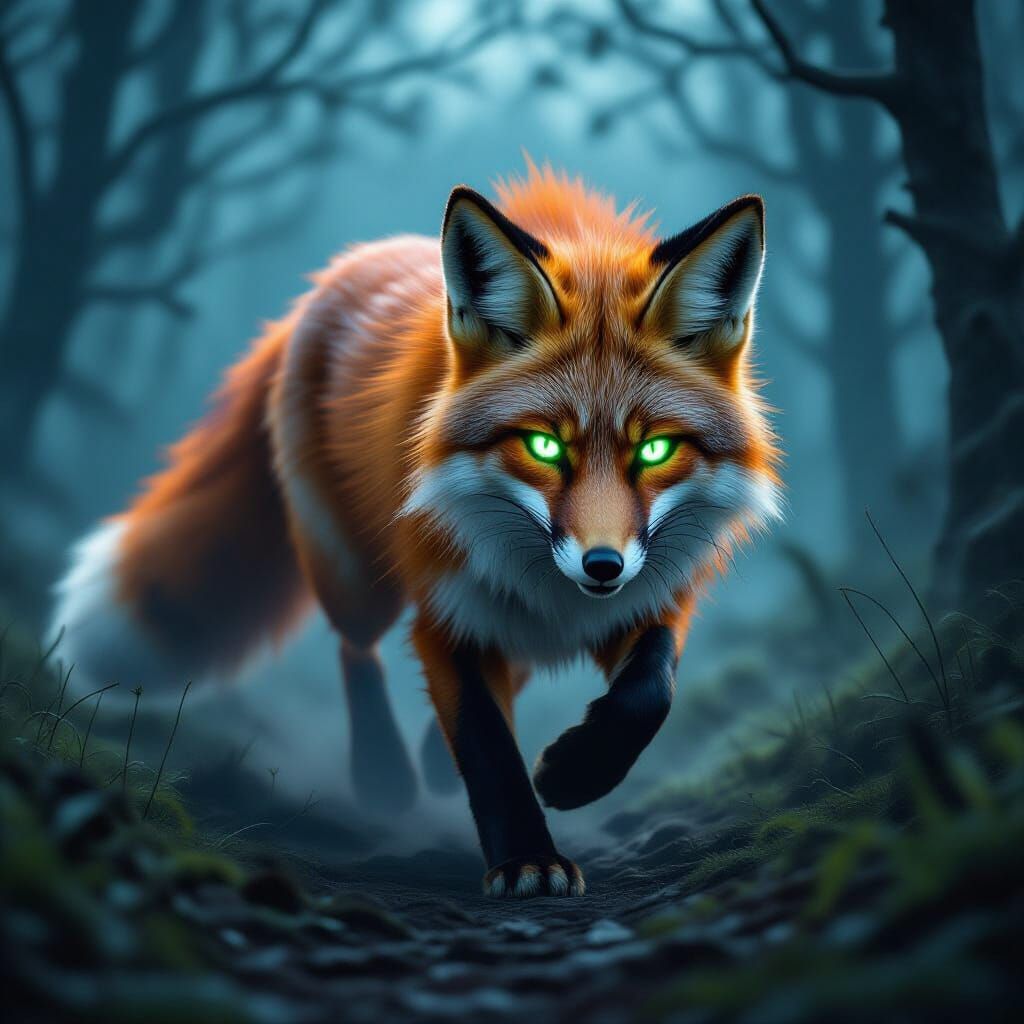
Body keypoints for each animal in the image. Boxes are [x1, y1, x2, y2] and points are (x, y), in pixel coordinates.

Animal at [52, 164, 781, 898]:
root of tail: (337, 271)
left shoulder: (655, 596)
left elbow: (650, 694)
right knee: (356, 647)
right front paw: (527, 859)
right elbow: (488, 748)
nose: (602, 566)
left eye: (655, 450)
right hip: (355, 576)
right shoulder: (447, 609)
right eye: (544, 446)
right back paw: (384, 774)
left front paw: (577, 773)